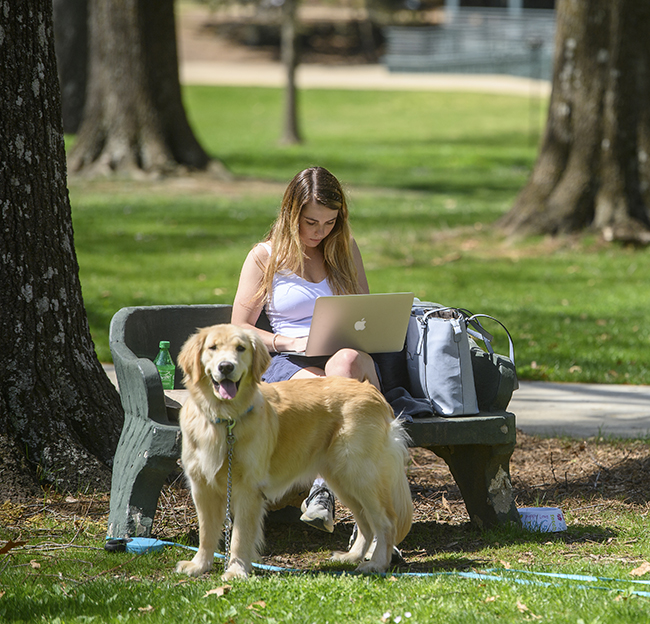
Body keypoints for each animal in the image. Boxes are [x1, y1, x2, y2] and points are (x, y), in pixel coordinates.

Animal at [175, 326, 410, 580]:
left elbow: (238, 535)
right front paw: (199, 565)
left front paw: (236, 570)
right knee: (365, 520)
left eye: (240, 348)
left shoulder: (247, 488)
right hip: (342, 479)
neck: (224, 419)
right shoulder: (201, 486)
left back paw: (376, 563)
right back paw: (352, 556)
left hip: (360, 474)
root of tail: (375, 392)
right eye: (213, 348)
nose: (226, 367)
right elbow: (206, 532)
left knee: (386, 521)